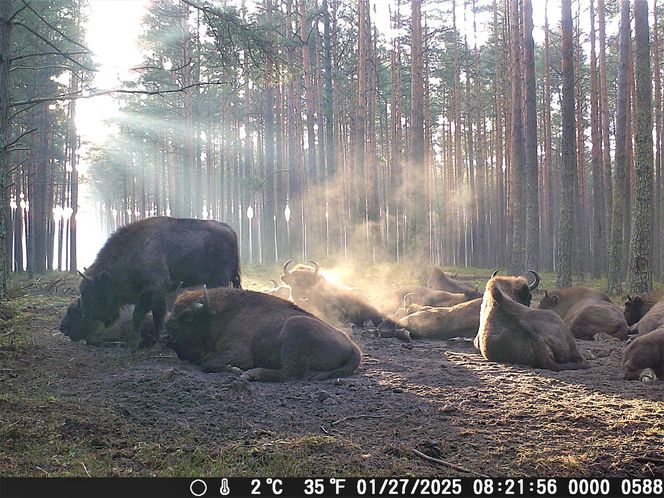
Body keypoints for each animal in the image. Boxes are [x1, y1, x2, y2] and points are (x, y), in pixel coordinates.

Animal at [77, 218, 241, 346]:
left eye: (95, 293)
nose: (87, 316)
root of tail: (229, 230)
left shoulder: (152, 289)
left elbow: (138, 314)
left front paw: (134, 342)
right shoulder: (159, 293)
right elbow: (158, 315)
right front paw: (158, 339)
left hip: (219, 278)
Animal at [165, 284, 364, 382]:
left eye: (188, 317)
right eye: (173, 309)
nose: (166, 336)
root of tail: (353, 347)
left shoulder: (238, 353)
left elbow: (207, 363)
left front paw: (235, 370)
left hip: (295, 330)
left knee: (290, 374)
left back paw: (252, 374)